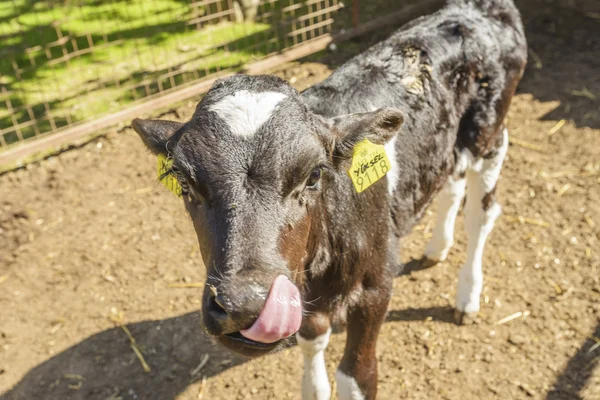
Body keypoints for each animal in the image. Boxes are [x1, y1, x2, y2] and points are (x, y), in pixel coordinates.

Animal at [131, 1, 524, 398]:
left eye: (315, 175)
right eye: (184, 182)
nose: (244, 305)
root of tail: (473, 9)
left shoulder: (376, 283)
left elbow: (357, 375)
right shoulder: (303, 290)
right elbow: (312, 338)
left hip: (490, 135)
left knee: (481, 214)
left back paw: (467, 295)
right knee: (452, 183)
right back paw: (437, 248)